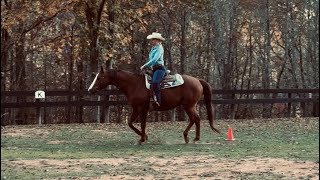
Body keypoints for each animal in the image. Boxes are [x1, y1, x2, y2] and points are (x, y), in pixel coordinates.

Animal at [87, 65, 219, 144]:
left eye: (99, 78)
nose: (90, 90)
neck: (134, 84)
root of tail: (198, 80)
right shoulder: (136, 108)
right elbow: (130, 123)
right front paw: (144, 137)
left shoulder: (143, 108)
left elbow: (143, 124)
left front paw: (142, 139)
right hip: (189, 106)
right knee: (196, 119)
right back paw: (194, 137)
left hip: (189, 106)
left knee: (194, 119)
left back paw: (189, 137)